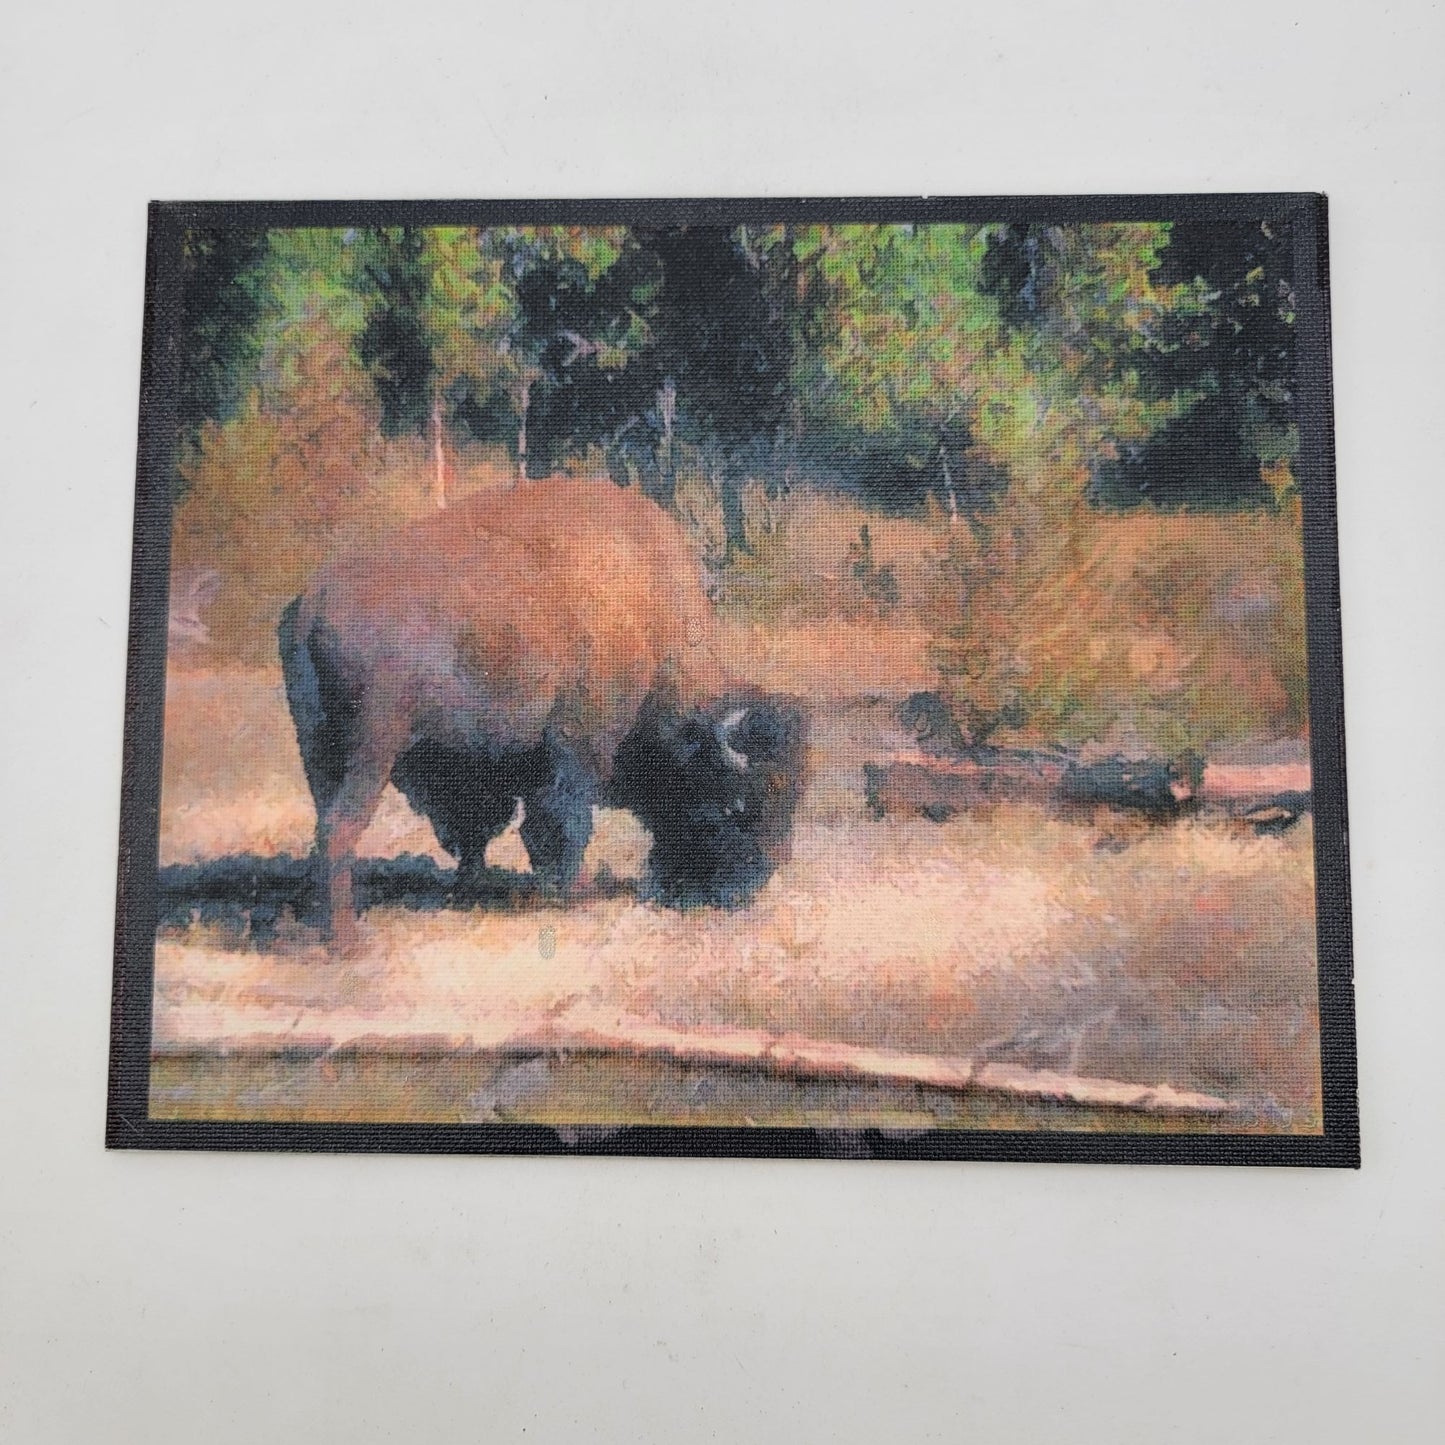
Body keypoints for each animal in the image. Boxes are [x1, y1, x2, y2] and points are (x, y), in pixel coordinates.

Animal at [278, 480, 806, 948]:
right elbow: (566, 821)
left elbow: (489, 829)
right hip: (374, 748)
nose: (751, 885)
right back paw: (347, 940)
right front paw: (574, 891)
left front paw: (481, 886)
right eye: (736, 805)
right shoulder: (578, 749)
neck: (648, 629)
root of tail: (312, 602)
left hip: (316, 748)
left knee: (323, 826)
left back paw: (317, 921)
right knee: (341, 826)